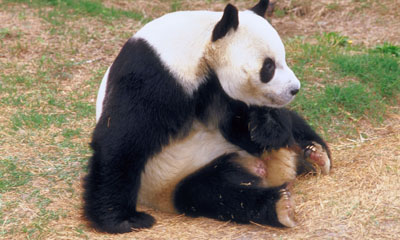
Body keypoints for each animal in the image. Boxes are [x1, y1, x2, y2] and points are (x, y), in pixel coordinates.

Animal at [83, 0, 332, 233]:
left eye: (284, 59)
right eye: (268, 67)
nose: (294, 89)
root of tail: (273, 171)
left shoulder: (220, 92)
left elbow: (246, 130)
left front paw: (266, 127)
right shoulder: (154, 77)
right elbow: (122, 141)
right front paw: (122, 220)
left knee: (294, 123)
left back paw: (313, 153)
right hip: (174, 175)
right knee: (213, 193)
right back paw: (281, 205)